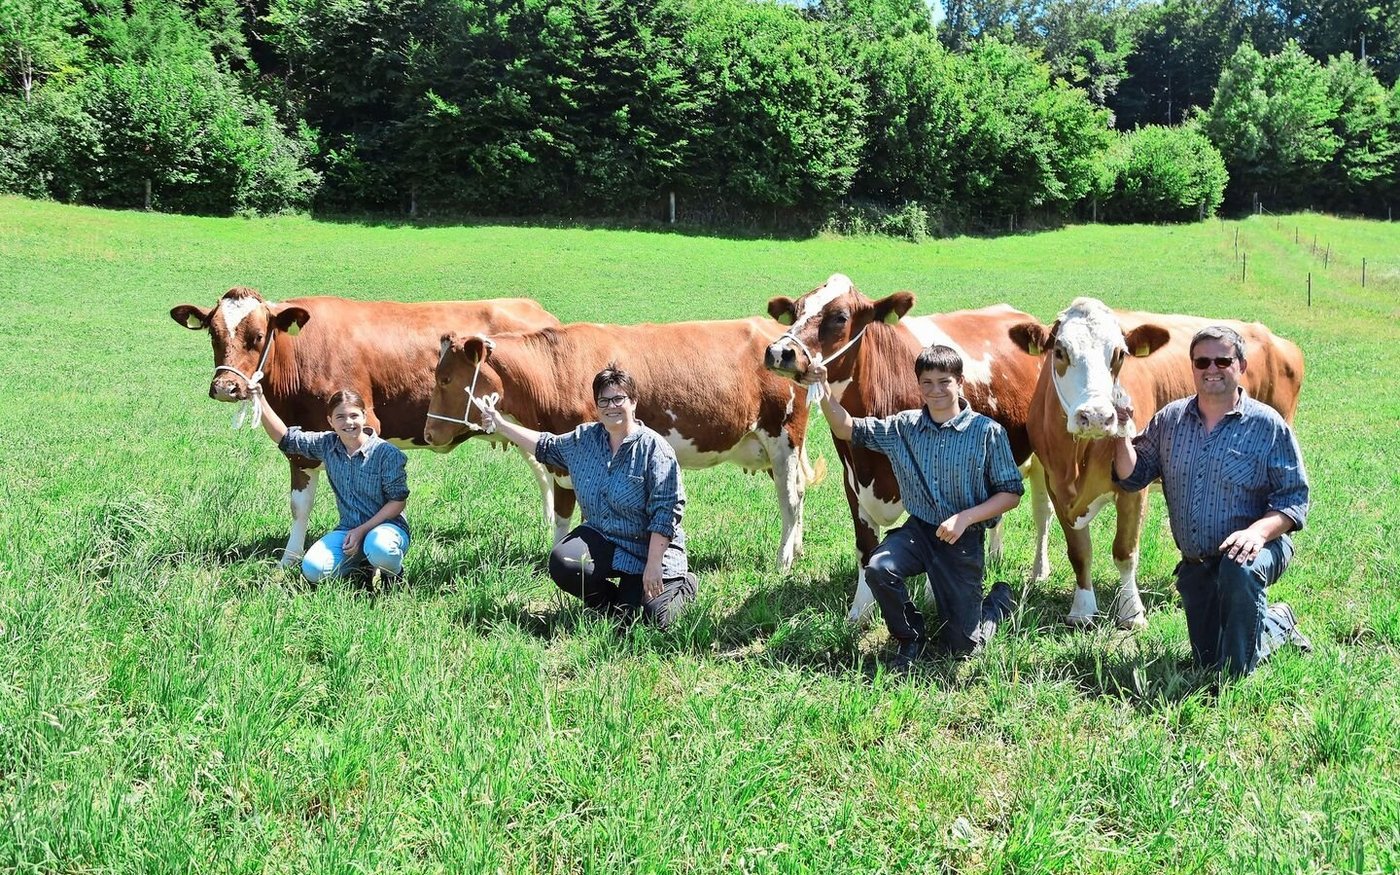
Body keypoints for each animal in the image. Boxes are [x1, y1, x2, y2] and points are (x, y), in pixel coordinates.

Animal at [170, 287, 560, 564]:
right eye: (214, 334)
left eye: (257, 335)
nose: (226, 387)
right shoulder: (300, 443)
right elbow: (299, 506)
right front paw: (288, 562)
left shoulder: (369, 423)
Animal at [422, 320, 824, 571]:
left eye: (445, 379)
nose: (428, 433)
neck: (554, 373)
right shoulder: (563, 460)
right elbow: (562, 516)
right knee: (799, 492)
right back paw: (798, 548)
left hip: (784, 435)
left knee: (789, 499)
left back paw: (783, 559)